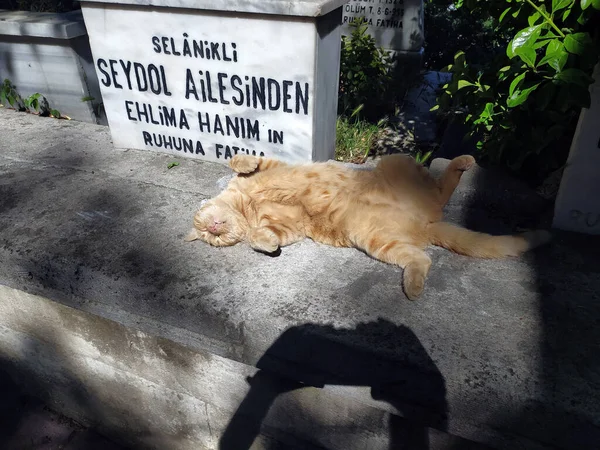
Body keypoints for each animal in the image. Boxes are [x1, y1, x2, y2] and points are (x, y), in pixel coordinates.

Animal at [185, 154, 552, 298]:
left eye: (205, 230)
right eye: (208, 239)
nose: (213, 230)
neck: (248, 206)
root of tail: (428, 223)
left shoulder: (272, 165)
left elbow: (241, 160)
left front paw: (241, 163)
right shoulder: (287, 227)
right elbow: (266, 238)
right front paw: (264, 242)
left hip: (397, 164)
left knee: (440, 188)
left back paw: (462, 162)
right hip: (378, 240)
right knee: (422, 256)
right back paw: (413, 288)